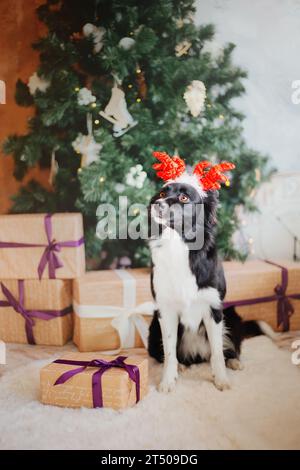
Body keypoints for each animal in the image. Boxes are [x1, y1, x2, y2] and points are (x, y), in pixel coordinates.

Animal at [148, 151, 274, 392]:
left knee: (225, 350)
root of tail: (198, 355)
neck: (179, 245)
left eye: (184, 198)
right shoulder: (165, 310)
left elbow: (216, 352)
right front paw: (168, 381)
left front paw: (221, 380)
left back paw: (234, 362)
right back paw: (183, 366)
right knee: (168, 354)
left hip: (230, 314)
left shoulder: (214, 307)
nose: (157, 204)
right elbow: (169, 352)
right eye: (162, 193)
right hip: (152, 328)